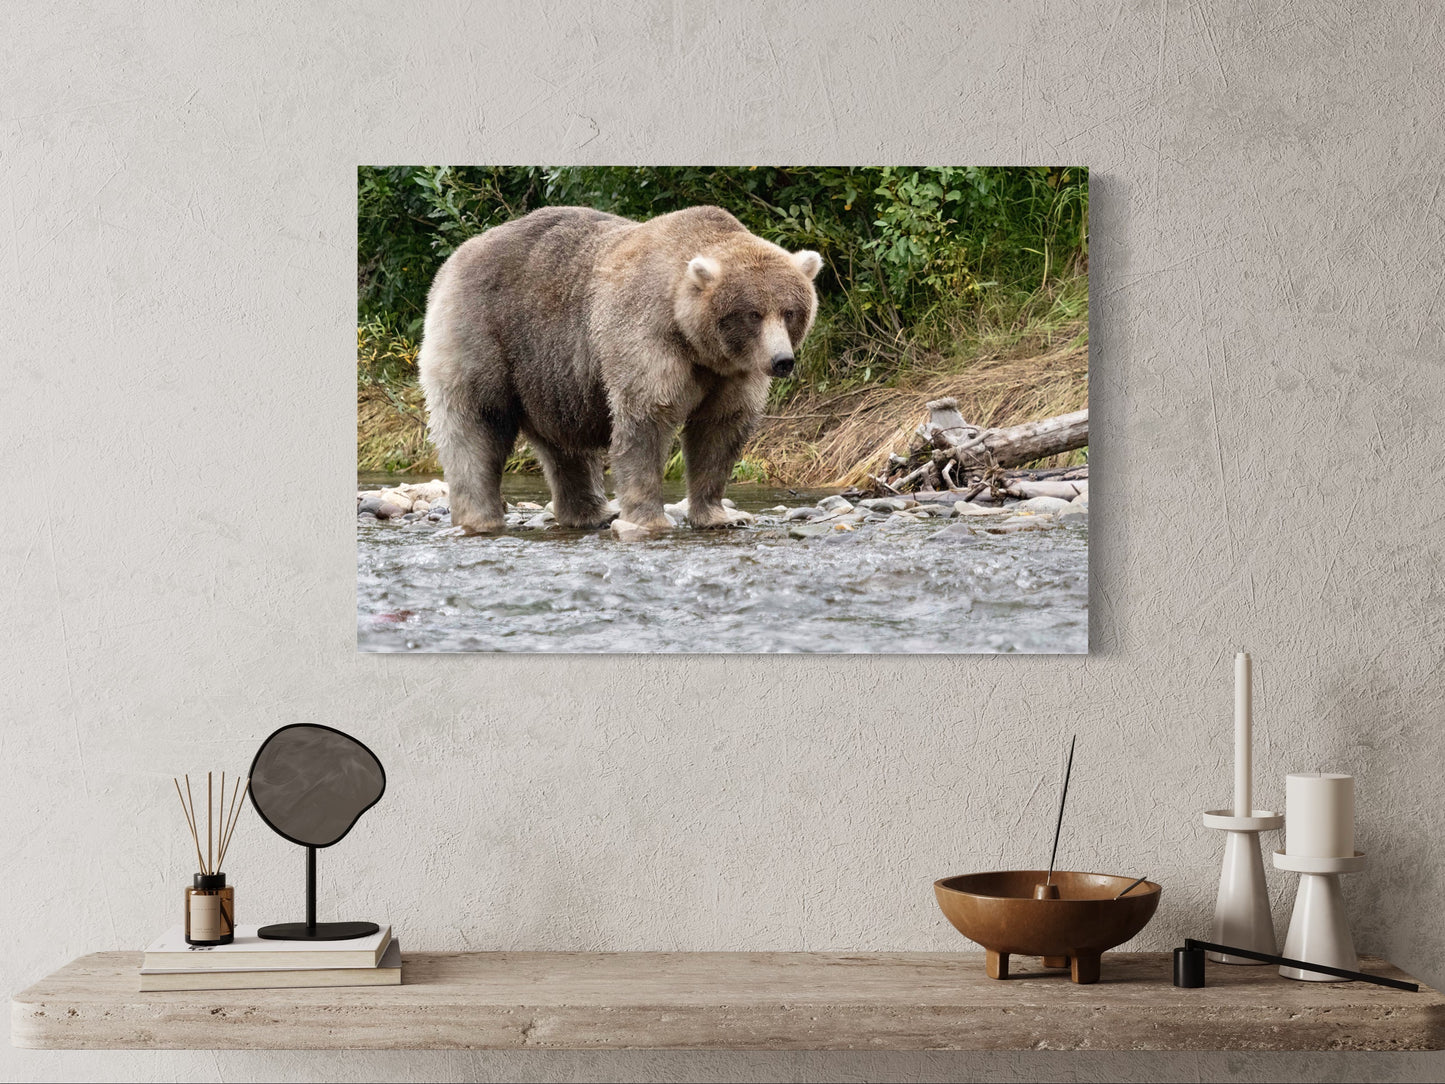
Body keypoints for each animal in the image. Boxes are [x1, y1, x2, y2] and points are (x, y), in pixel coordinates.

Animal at [417, 204, 822, 536]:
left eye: (790, 311)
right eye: (753, 314)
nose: (782, 361)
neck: (693, 339)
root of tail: (454, 258)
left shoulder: (732, 372)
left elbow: (720, 429)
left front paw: (720, 515)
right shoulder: (644, 336)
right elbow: (645, 419)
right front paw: (649, 519)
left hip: (550, 375)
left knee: (565, 446)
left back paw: (591, 512)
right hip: (483, 333)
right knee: (476, 423)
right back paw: (481, 517)